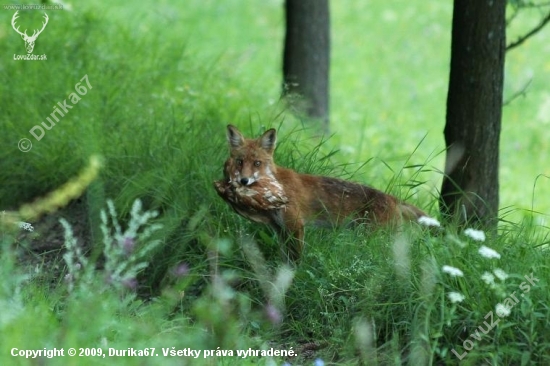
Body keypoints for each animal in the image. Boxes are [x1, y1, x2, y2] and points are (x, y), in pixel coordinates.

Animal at [216, 124, 432, 262]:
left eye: (257, 163)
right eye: (240, 162)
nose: (243, 181)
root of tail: (393, 198)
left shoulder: (296, 226)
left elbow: (295, 261)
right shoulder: (280, 229)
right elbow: (283, 257)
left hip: (375, 240)